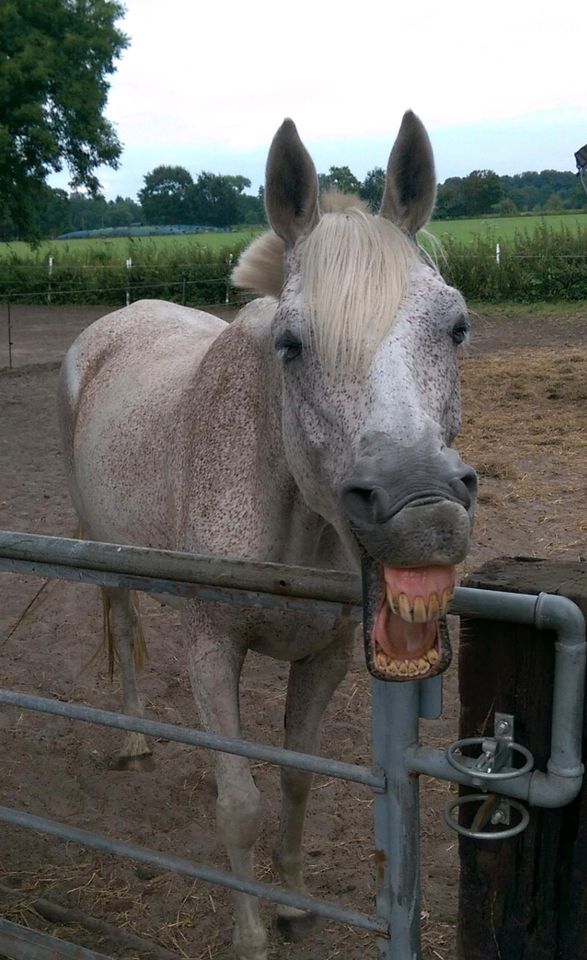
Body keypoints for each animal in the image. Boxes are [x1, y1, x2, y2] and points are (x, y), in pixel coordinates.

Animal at [57, 112, 478, 960]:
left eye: (455, 327)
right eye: (290, 344)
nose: (422, 513)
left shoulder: (324, 660)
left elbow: (295, 777)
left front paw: (291, 905)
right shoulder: (212, 648)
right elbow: (239, 805)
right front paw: (251, 932)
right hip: (103, 552)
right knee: (119, 619)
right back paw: (133, 738)